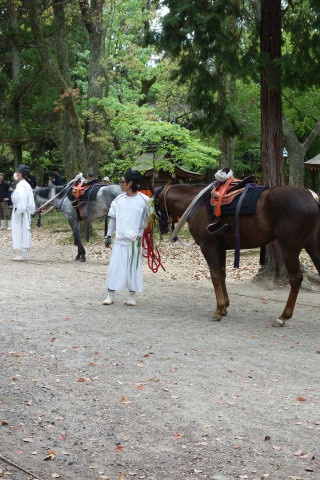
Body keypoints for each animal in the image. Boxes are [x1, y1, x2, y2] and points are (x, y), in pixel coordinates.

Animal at [155, 184, 320, 326]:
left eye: (155, 204)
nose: (161, 228)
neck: (196, 204)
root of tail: (310, 196)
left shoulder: (207, 247)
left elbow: (215, 276)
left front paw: (218, 309)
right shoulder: (220, 248)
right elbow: (222, 275)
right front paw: (224, 307)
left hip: (289, 249)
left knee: (296, 279)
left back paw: (283, 316)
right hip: (312, 246)